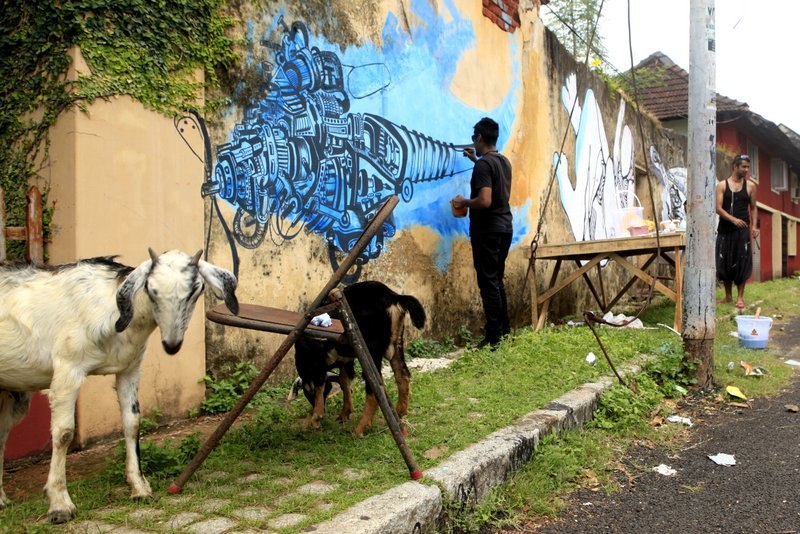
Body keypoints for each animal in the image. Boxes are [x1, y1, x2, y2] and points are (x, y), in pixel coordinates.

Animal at [0, 250, 238, 524]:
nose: (171, 344)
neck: (112, 311)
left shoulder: (129, 369)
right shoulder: (67, 371)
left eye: (196, 290)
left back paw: (1, 499)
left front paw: (140, 488)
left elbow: (132, 423)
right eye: (151, 289)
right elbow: (64, 434)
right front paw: (60, 505)